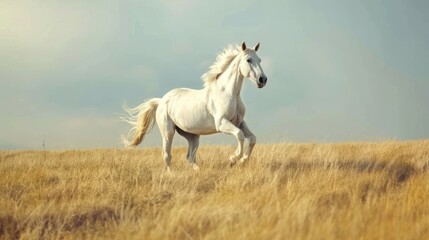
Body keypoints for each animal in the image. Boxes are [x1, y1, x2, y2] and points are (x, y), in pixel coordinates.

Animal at [122, 42, 266, 172]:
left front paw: (242, 160)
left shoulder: (239, 122)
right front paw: (233, 159)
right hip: (168, 132)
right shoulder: (222, 123)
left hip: (192, 136)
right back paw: (171, 174)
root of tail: (161, 101)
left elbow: (252, 139)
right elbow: (240, 135)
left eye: (259, 59)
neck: (227, 93)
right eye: (249, 60)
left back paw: (198, 171)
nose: (262, 80)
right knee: (167, 155)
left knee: (190, 157)